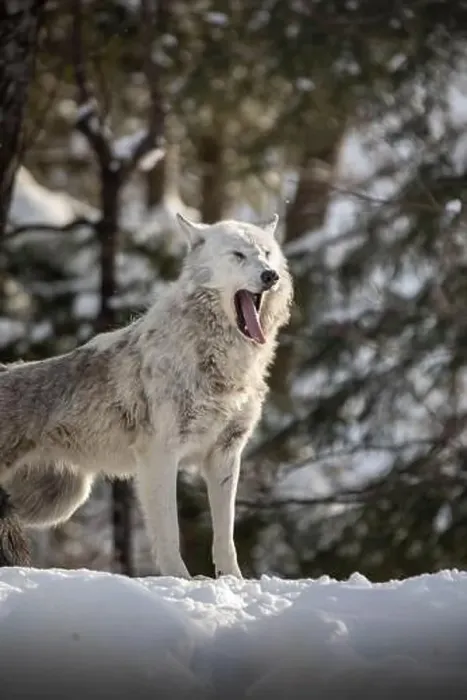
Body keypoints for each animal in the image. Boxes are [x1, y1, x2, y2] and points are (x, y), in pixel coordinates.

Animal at [0, 214, 293, 577]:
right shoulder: (160, 456)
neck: (221, 365)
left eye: (267, 254)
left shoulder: (225, 454)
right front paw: (181, 582)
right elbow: (169, 535)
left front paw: (234, 582)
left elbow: (225, 538)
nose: (270, 276)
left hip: (59, 501)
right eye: (238, 255)